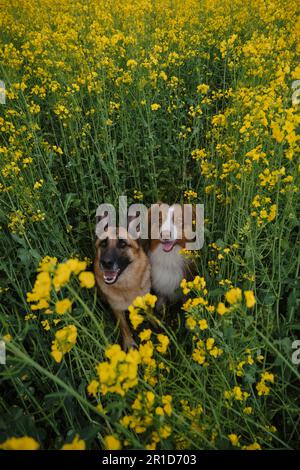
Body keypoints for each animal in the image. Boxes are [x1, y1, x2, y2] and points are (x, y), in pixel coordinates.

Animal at [94, 218, 150, 350]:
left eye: (123, 244)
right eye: (103, 243)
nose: (106, 263)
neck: (126, 285)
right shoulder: (117, 309)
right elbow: (124, 327)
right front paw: (129, 344)